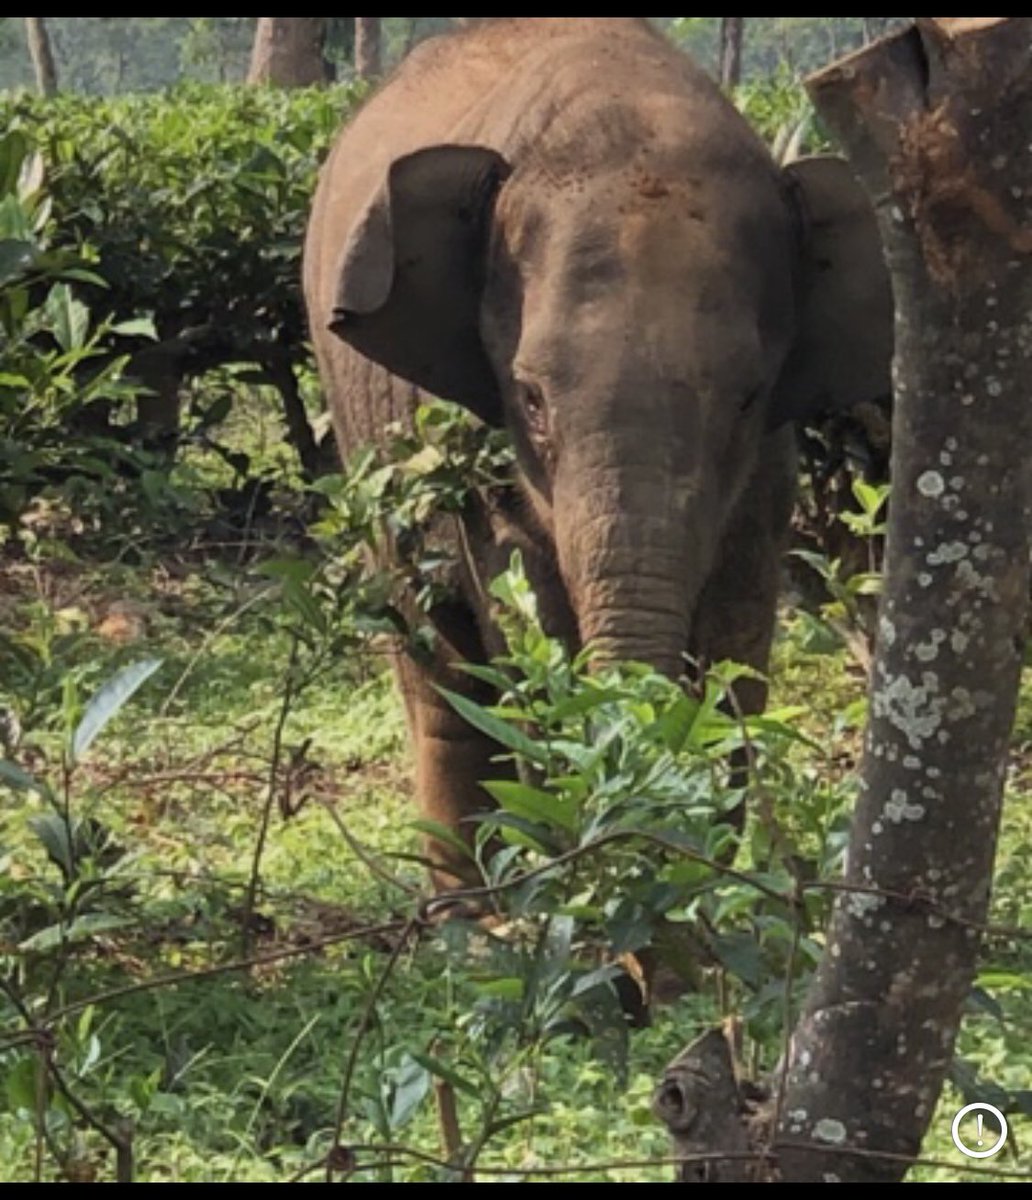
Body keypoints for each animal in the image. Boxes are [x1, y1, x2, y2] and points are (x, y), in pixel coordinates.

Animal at [300, 14, 892, 888]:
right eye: (531, 399)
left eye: (748, 399)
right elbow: (522, 614)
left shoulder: (767, 469)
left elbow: (739, 638)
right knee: (436, 665)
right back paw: (469, 910)